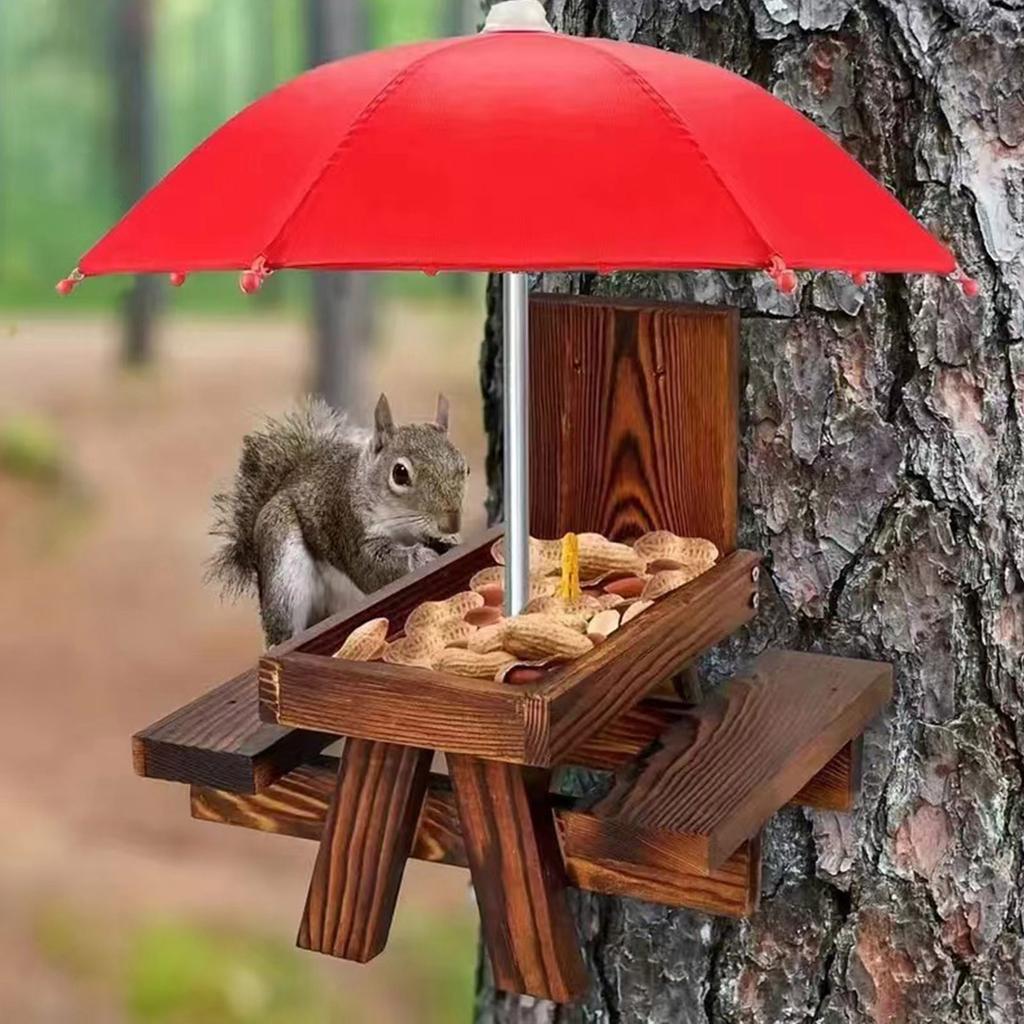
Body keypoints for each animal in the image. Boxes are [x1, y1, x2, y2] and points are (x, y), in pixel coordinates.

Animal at [208, 392, 468, 647]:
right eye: (400, 473)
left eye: (465, 468)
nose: (451, 524)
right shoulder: (349, 525)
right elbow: (372, 568)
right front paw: (422, 557)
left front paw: (449, 543)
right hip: (281, 561)